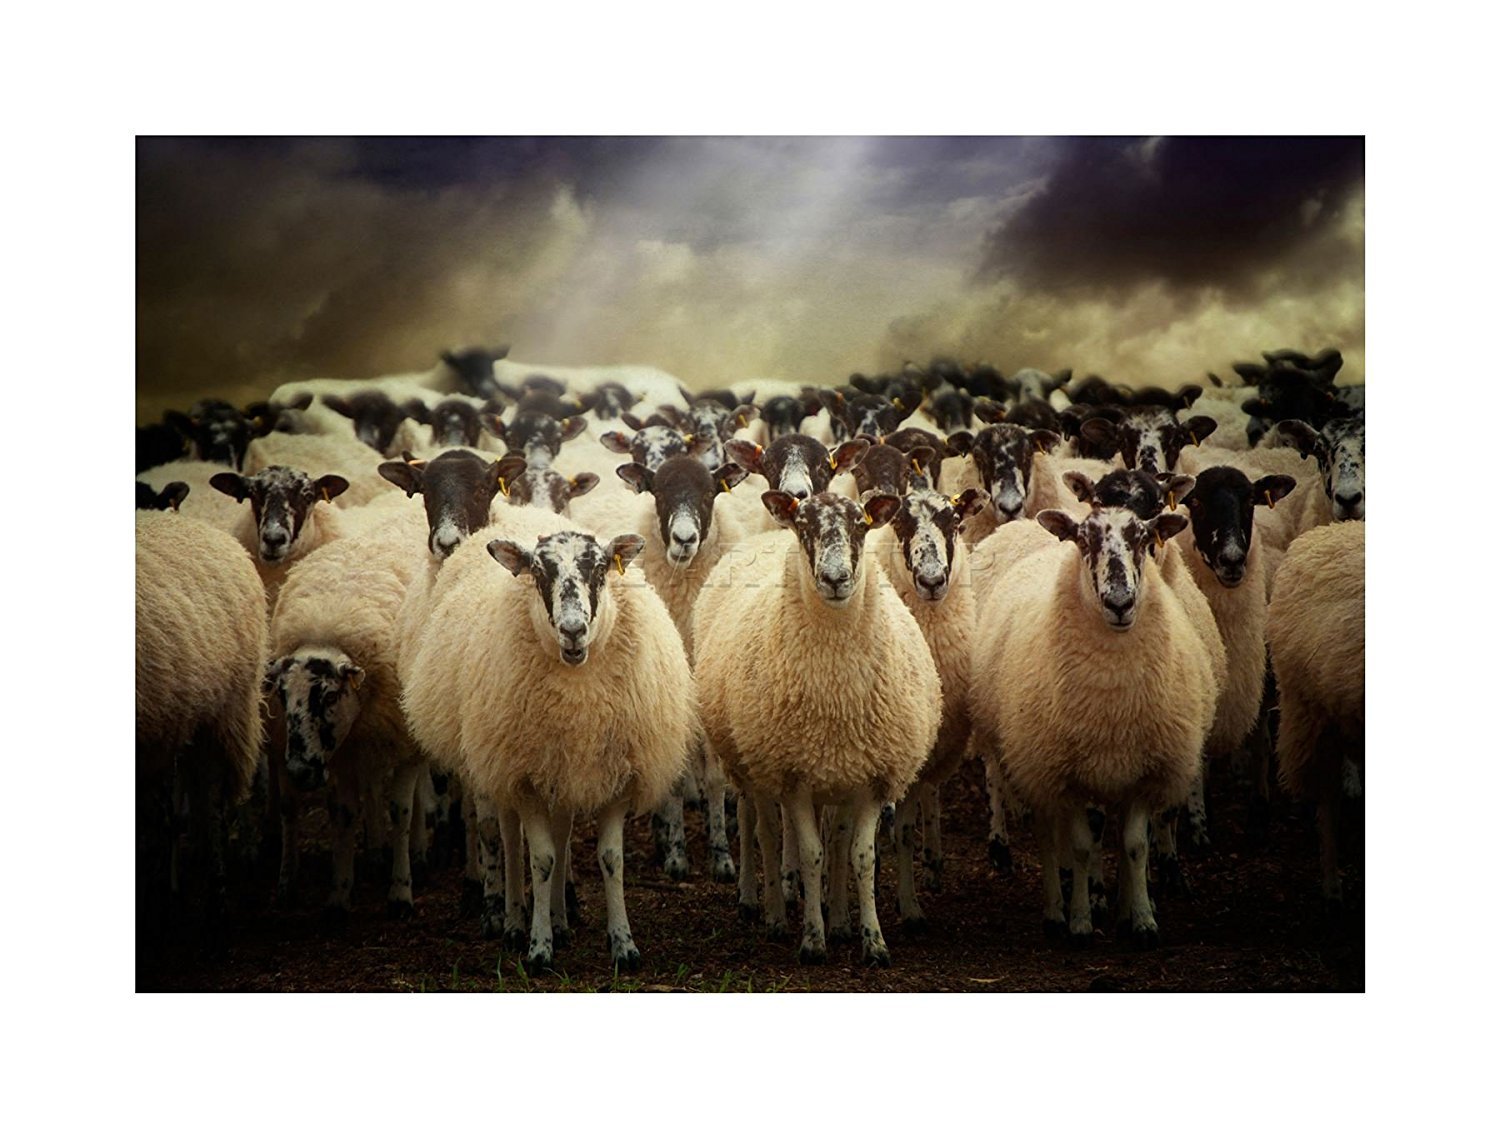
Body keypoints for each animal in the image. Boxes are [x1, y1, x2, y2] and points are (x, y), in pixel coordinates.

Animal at [404, 522, 693, 970]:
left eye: (601, 568)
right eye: (538, 573)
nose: (573, 630)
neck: (578, 695)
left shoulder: (616, 776)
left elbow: (610, 859)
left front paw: (623, 944)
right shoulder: (523, 778)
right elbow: (540, 859)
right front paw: (538, 948)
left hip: (561, 768)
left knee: (562, 833)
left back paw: (560, 918)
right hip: (495, 763)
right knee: (506, 837)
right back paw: (511, 921)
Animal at [693, 491, 941, 966]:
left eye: (861, 525)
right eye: (804, 525)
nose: (836, 578)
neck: (836, 690)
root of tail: (766, 537)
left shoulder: (872, 778)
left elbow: (860, 855)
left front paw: (871, 940)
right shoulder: (792, 778)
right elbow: (809, 854)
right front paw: (812, 940)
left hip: (835, 774)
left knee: (833, 838)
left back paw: (837, 918)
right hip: (751, 761)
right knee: (762, 830)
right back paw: (766, 908)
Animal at [967, 493, 1217, 948]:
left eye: (1143, 540)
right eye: (1083, 542)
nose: (1120, 603)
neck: (1111, 700)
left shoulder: (1143, 769)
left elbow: (1134, 845)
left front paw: (1141, 919)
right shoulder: (1069, 777)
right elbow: (1083, 847)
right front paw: (1082, 920)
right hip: (1034, 762)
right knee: (1048, 836)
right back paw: (1055, 911)